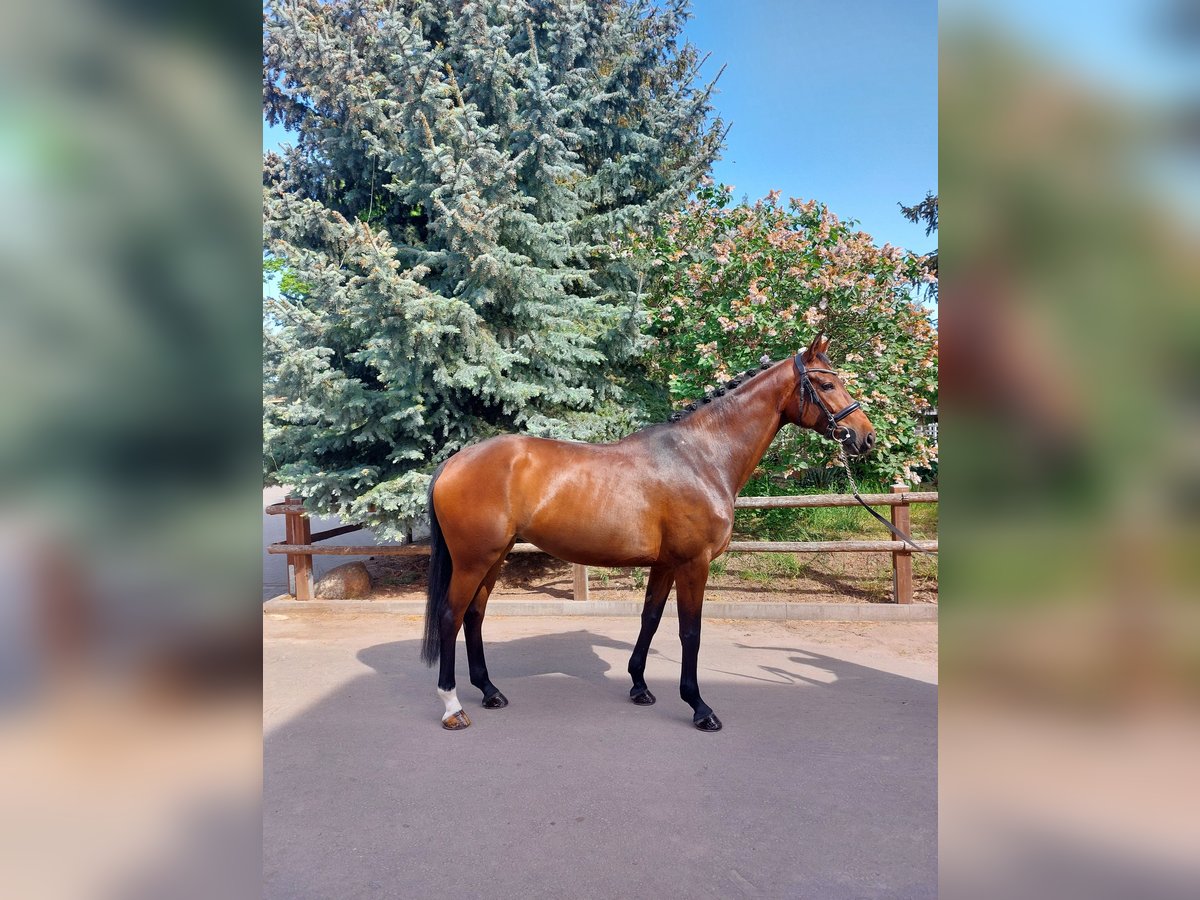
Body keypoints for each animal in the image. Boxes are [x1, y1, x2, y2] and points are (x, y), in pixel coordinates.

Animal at [420, 331, 873, 734]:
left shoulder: (666, 564)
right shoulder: (694, 564)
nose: (864, 438)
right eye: (828, 383)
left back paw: (490, 691)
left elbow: (650, 619)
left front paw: (639, 686)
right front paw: (699, 707)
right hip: (473, 559)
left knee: (474, 615)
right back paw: (452, 707)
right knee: (450, 616)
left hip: (494, 557)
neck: (700, 457)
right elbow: (690, 631)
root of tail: (453, 462)